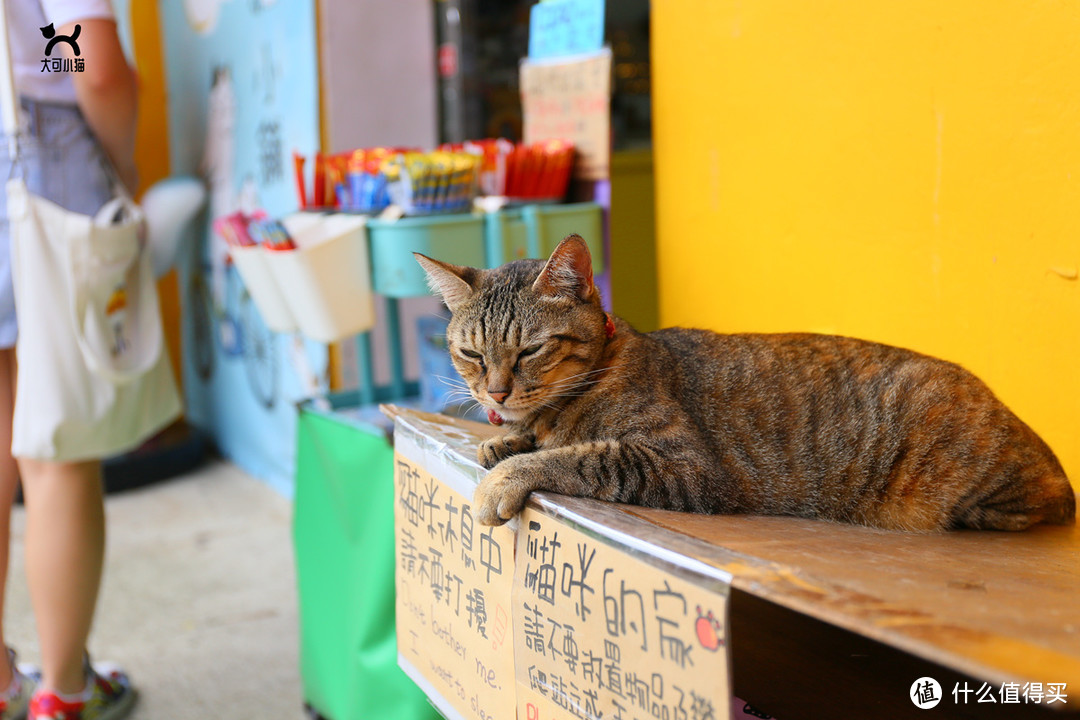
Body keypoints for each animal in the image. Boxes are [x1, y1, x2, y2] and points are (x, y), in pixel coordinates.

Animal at [412, 234, 1071, 533]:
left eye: (530, 349)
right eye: (471, 354)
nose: (495, 394)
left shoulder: (681, 463)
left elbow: (572, 456)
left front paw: (505, 473)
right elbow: (530, 443)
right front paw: (503, 440)